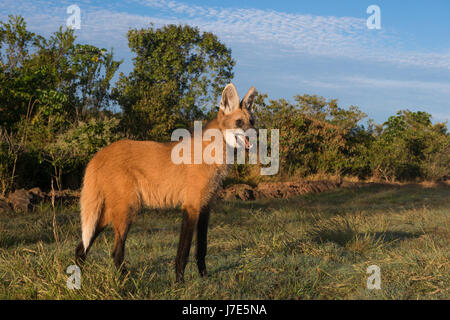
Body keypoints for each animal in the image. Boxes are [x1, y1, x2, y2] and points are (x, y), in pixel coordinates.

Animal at [75, 83, 258, 282]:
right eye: (239, 122)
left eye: (252, 121)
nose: (256, 135)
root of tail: (100, 153)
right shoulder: (191, 206)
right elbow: (183, 252)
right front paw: (180, 282)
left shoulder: (205, 207)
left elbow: (201, 249)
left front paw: (204, 278)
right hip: (128, 209)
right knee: (115, 252)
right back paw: (128, 280)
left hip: (110, 212)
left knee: (81, 247)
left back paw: (78, 277)